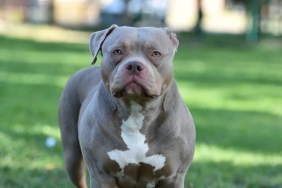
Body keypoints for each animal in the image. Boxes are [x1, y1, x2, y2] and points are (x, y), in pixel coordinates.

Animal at [58, 25, 195, 188]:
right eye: (117, 51)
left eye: (156, 53)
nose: (134, 65)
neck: (137, 111)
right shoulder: (101, 175)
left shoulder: (173, 177)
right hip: (72, 158)